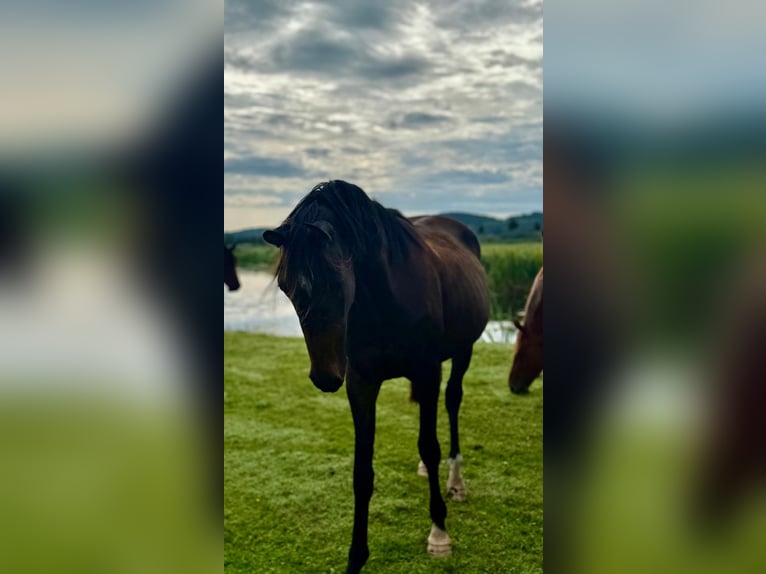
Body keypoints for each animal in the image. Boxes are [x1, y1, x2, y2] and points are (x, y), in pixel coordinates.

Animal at [263, 180, 489, 573]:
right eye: (285, 287)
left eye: (335, 280)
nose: (325, 377)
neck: (386, 300)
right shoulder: (361, 384)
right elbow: (362, 472)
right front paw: (356, 557)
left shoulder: (427, 372)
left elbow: (430, 446)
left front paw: (439, 532)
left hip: (463, 352)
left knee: (452, 402)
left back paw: (456, 480)